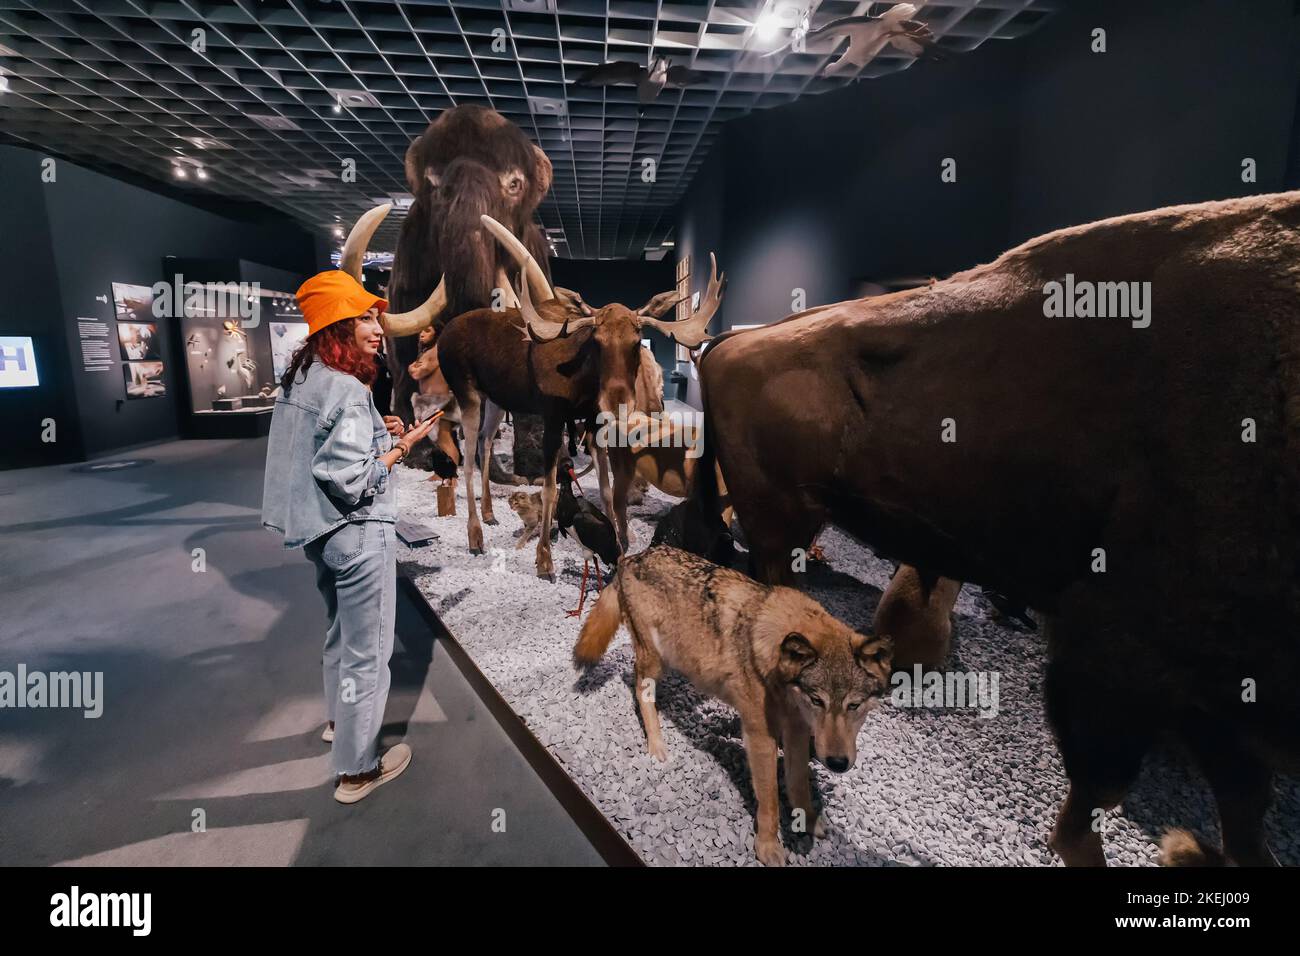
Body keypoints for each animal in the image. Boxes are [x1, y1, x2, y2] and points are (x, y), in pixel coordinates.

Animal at [434, 214, 722, 574]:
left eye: (636, 339)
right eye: (596, 338)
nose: (617, 400)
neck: (583, 384)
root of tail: (441, 337)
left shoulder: (593, 421)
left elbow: (606, 488)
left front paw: (618, 547)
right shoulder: (554, 416)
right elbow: (549, 486)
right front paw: (544, 557)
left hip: (496, 400)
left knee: (486, 442)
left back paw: (488, 513)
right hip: (466, 389)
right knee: (468, 454)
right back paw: (475, 535)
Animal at [579, 546, 894, 868]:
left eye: (854, 705)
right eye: (818, 700)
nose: (838, 763)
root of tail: (630, 558)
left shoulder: (797, 731)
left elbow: (798, 784)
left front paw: (808, 819)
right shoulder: (760, 736)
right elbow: (769, 800)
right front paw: (768, 846)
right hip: (655, 658)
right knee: (638, 685)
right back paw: (656, 744)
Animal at [696, 192, 1300, 868]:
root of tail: (728, 344)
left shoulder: (1226, 711)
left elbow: (1243, 818)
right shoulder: (1123, 662)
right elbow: (1090, 813)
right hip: (782, 527)